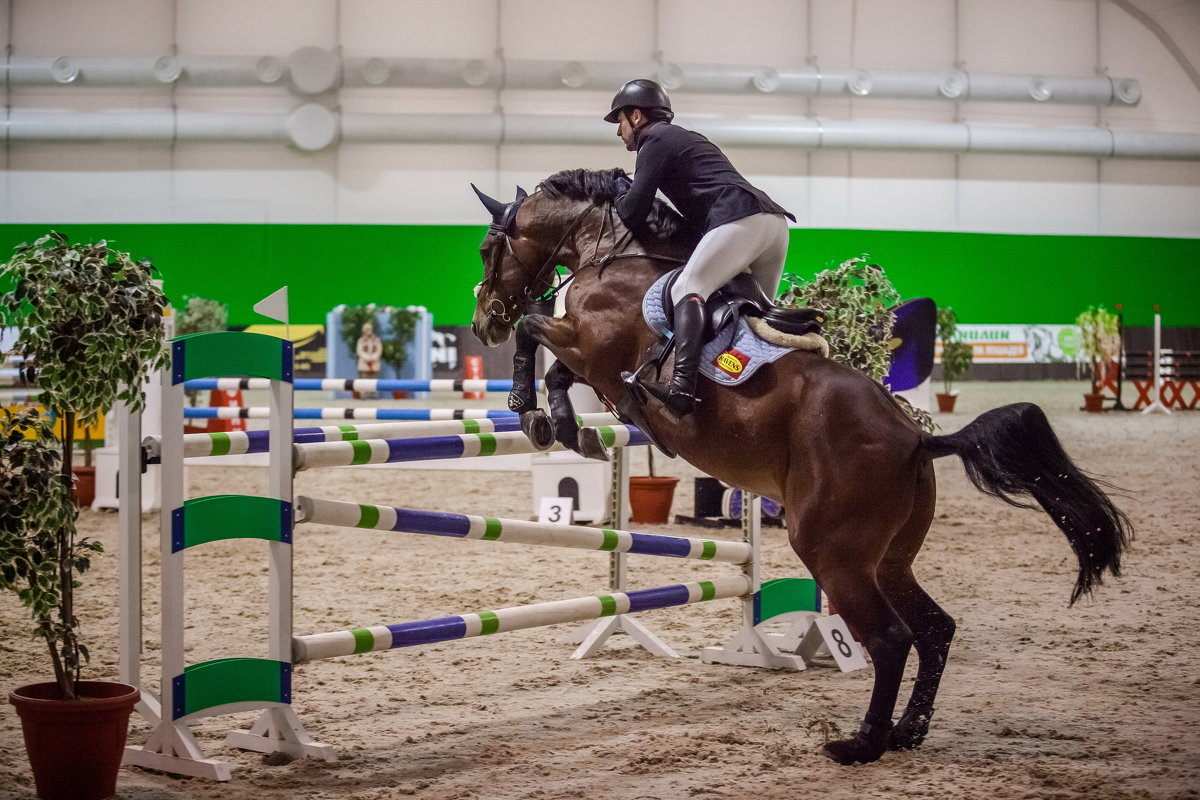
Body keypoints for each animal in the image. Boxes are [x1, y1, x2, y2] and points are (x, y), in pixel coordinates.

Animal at [470, 165, 1132, 767]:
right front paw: (562, 425)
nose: (483, 323)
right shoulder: (590, 358)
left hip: (829, 549)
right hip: (885, 558)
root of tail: (916, 441)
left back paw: (862, 744)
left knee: (890, 638)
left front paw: (530, 407)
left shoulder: (591, 345)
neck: (611, 257)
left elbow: (536, 331)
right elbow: (557, 366)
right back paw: (907, 733)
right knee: (934, 628)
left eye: (486, 249)